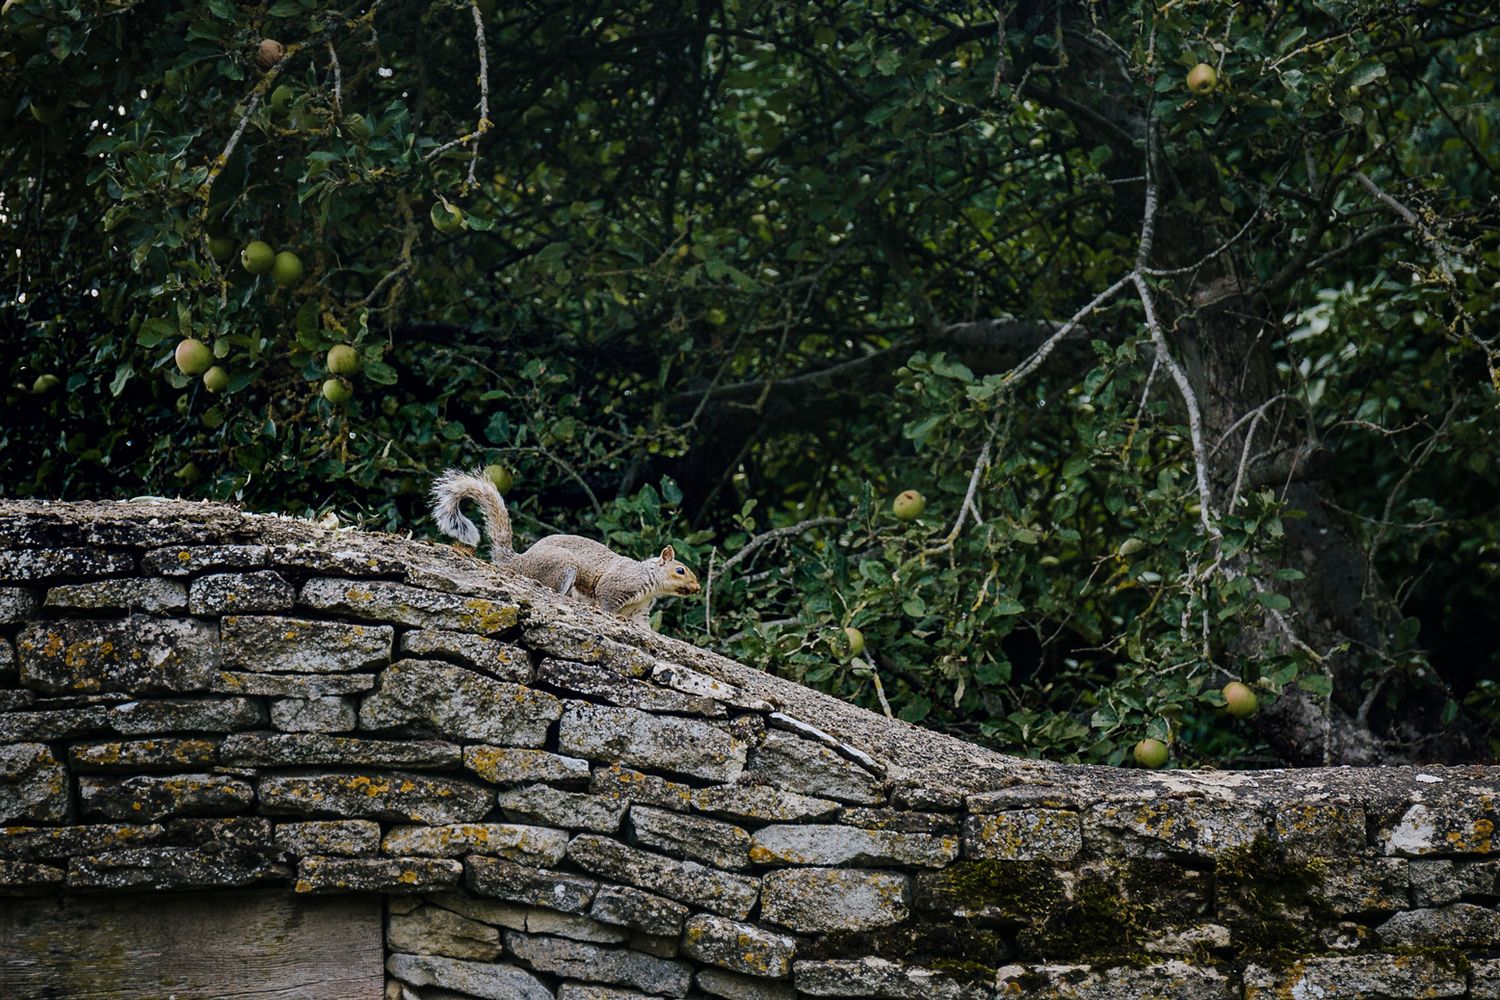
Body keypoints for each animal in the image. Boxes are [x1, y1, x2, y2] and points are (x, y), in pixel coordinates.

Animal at [429, 468, 701, 623]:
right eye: (680, 570)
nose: (697, 588)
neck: (649, 580)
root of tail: (519, 561)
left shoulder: (639, 610)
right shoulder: (617, 586)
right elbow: (606, 602)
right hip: (561, 567)